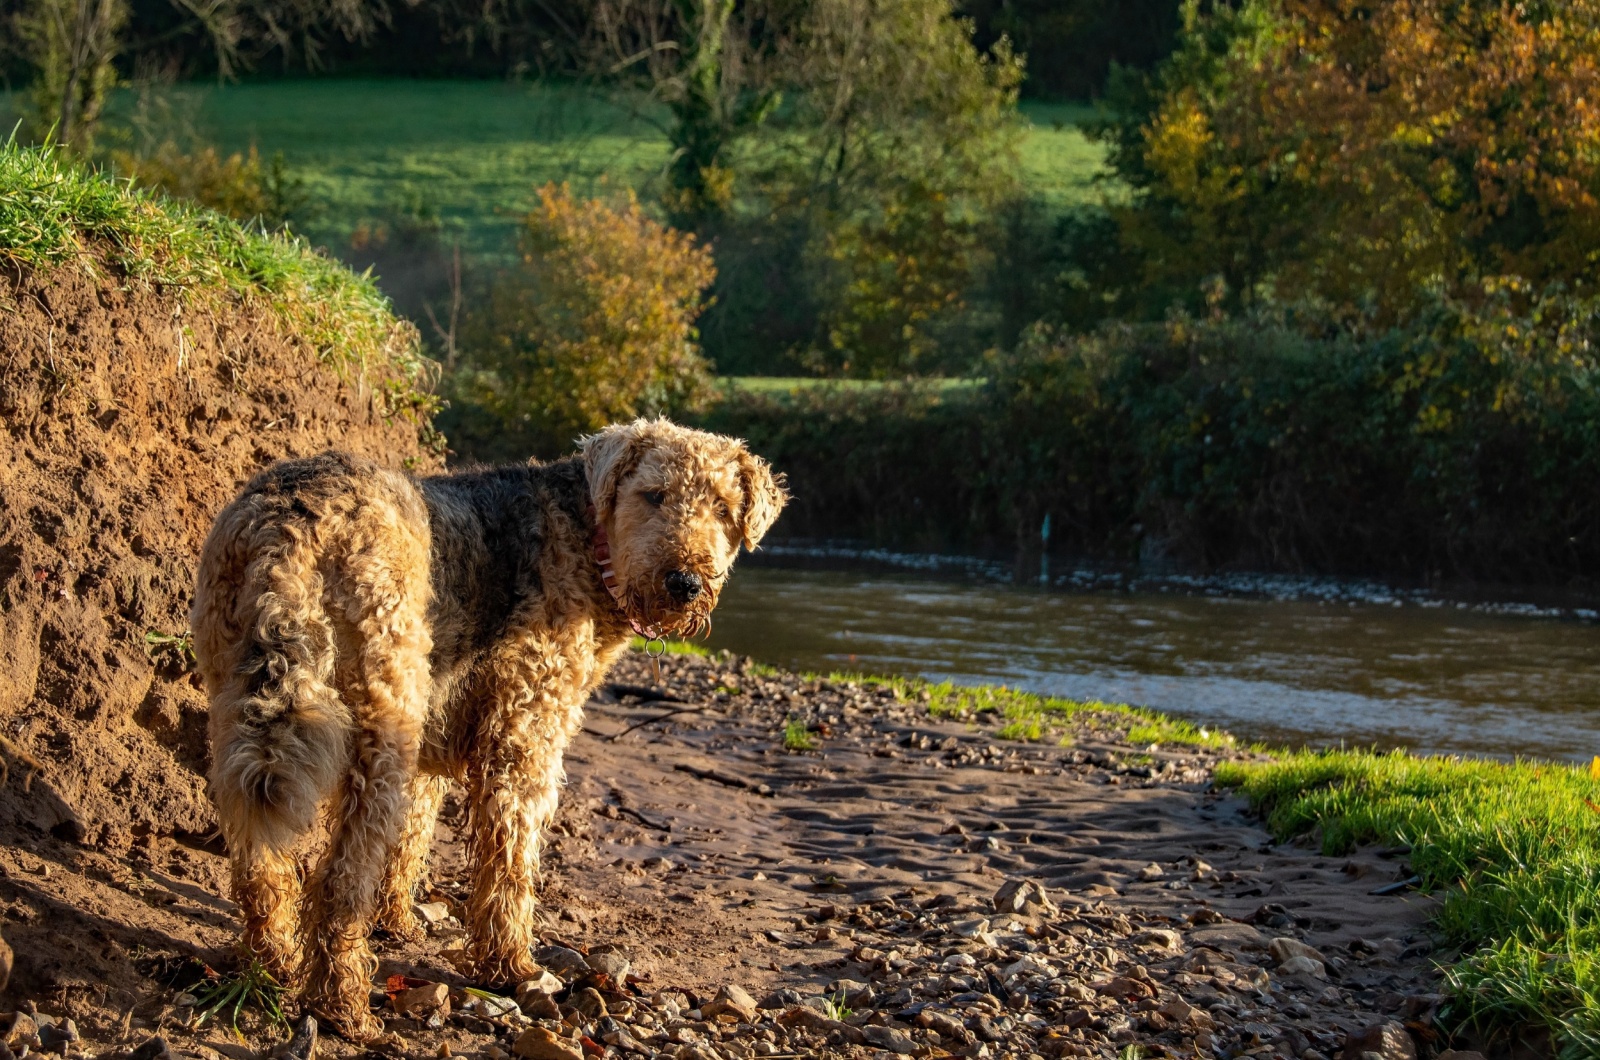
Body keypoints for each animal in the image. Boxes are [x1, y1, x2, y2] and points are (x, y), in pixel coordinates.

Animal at [192, 419, 787, 1043]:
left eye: (723, 508)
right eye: (654, 495)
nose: (684, 582)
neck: (587, 534)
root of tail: (288, 524)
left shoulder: (432, 746)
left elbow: (412, 841)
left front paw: (397, 921)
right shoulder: (524, 736)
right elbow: (510, 863)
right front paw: (510, 966)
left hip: (239, 699)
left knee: (258, 860)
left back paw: (273, 961)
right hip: (383, 725)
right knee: (339, 881)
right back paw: (344, 1005)